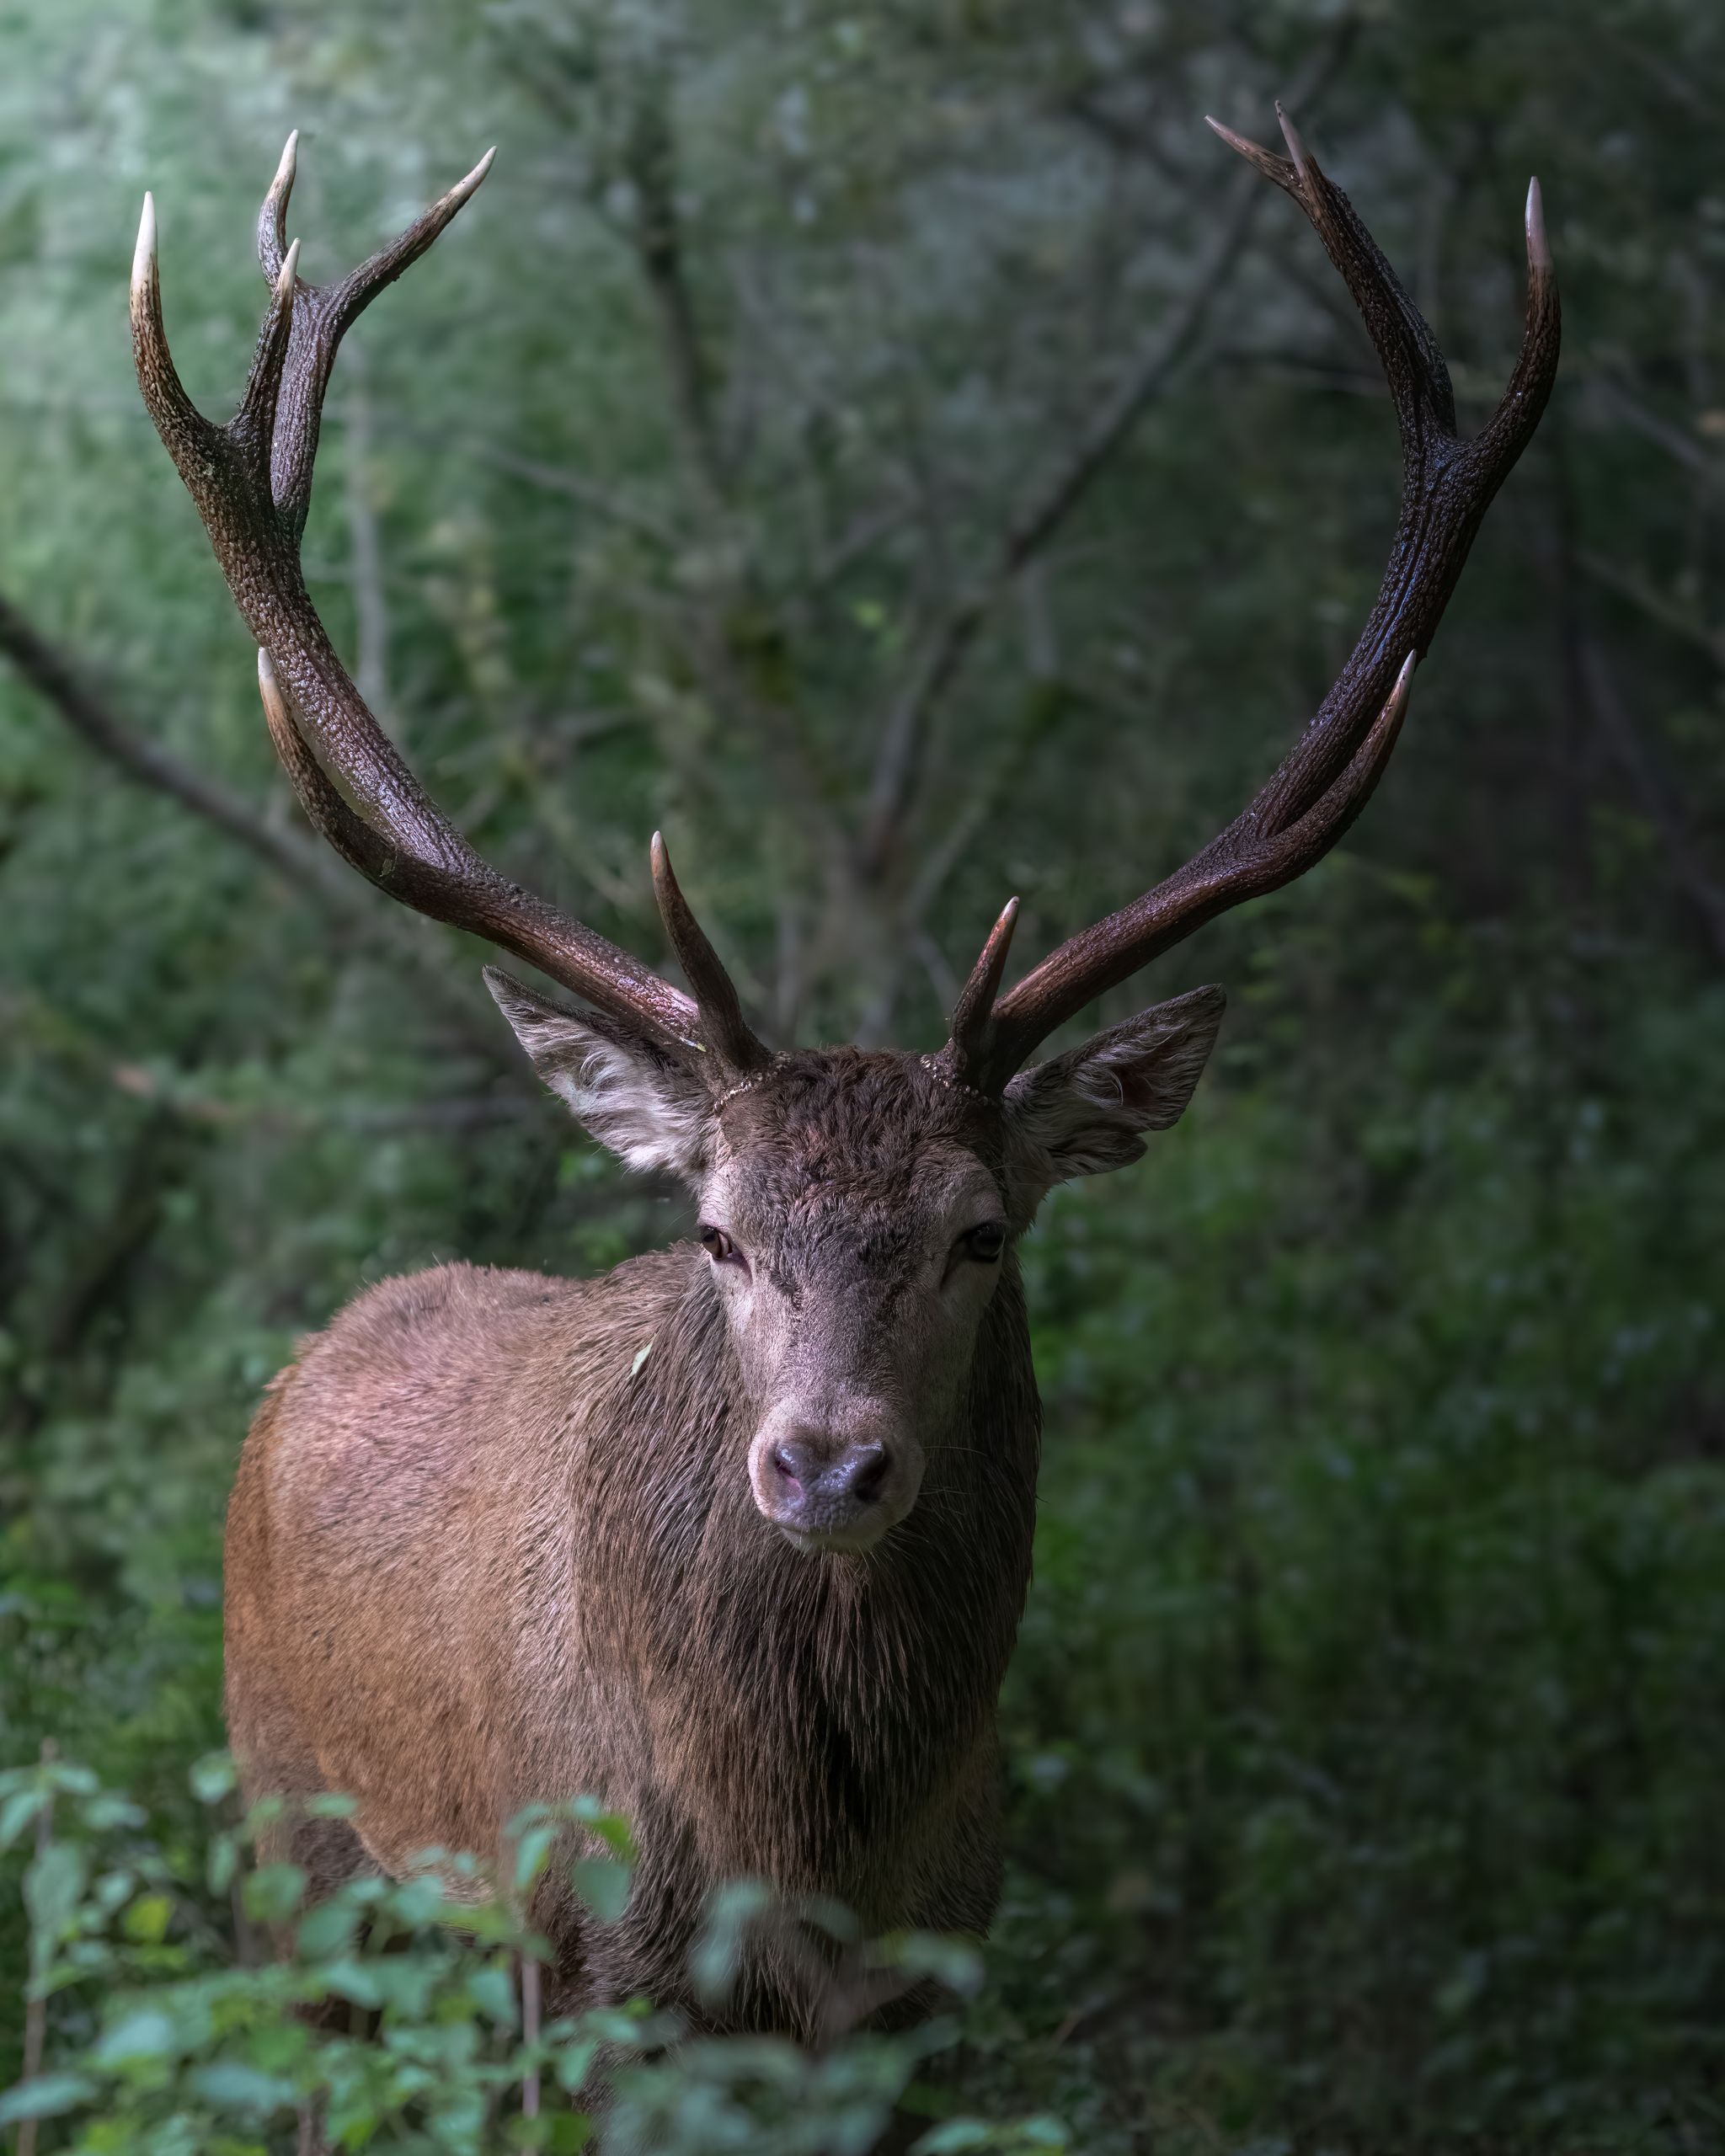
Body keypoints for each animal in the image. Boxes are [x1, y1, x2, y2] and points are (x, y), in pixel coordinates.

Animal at [129, 108, 1559, 2039]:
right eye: (717, 1230)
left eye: (981, 1231)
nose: (823, 1467)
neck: (806, 1862)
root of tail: (307, 1362)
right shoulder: (585, 1971)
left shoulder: (938, 1983)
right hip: (301, 1865)